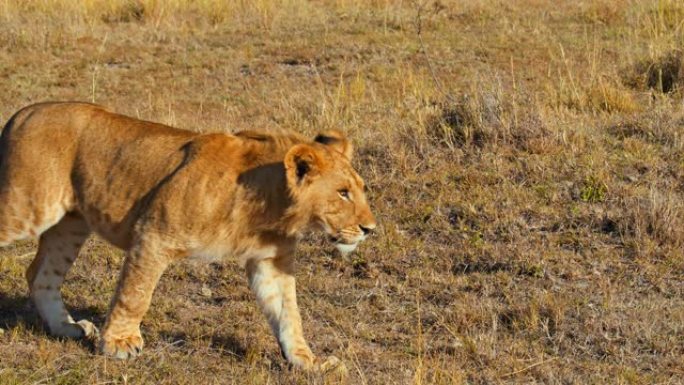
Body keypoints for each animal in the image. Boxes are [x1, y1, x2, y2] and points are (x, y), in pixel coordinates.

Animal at [0, 101, 374, 368]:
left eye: (360, 189)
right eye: (343, 193)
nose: (370, 229)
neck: (270, 207)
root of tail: (23, 112)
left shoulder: (271, 260)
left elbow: (288, 313)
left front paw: (307, 361)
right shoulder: (153, 234)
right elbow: (135, 294)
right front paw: (119, 344)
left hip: (71, 223)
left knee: (40, 275)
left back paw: (67, 328)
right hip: (28, 207)